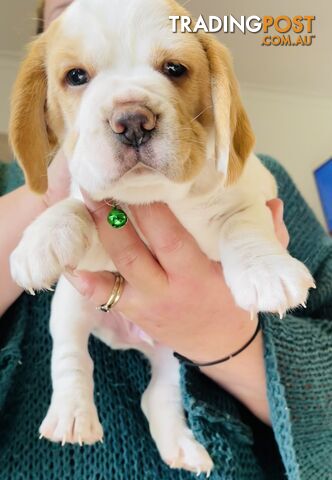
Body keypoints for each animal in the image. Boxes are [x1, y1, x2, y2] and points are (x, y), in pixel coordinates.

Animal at [7, 0, 314, 474]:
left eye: (174, 69)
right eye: (75, 76)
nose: (133, 120)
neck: (159, 196)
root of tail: (130, 337)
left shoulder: (252, 192)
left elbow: (242, 223)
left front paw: (267, 272)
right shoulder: (96, 222)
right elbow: (81, 204)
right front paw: (43, 235)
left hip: (176, 357)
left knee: (158, 397)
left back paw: (184, 449)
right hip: (71, 307)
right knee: (72, 357)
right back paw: (72, 417)